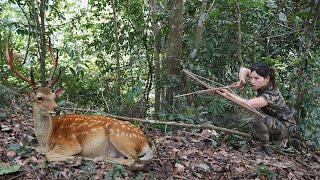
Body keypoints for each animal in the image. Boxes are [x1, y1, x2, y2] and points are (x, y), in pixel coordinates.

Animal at [5, 41, 154, 169]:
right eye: (39, 98)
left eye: (54, 97)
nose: (56, 109)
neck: (46, 139)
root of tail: (146, 142)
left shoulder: (71, 144)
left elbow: (48, 155)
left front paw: (76, 159)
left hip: (119, 136)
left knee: (134, 160)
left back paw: (95, 158)